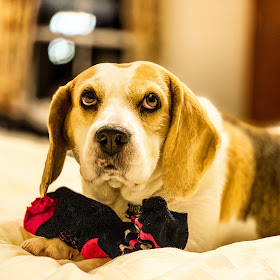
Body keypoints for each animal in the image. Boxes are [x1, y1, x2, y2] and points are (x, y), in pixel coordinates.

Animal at [21, 61, 280, 270]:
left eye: (151, 100)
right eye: (88, 97)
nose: (111, 136)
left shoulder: (188, 244)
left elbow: (113, 256)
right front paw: (54, 244)